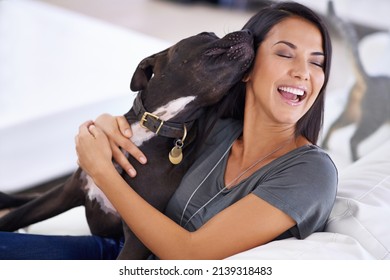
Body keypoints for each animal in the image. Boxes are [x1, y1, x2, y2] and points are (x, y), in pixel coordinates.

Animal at [0, 29, 253, 260]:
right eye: (206, 34)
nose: (250, 32)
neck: (153, 124)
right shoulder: (68, 192)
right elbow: (15, 217)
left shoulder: (138, 238)